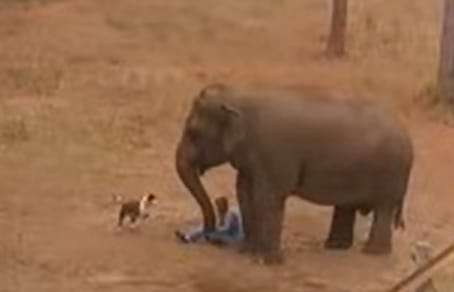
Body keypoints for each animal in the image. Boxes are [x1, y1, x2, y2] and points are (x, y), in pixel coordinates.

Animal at [176, 82, 414, 264]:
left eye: (193, 133)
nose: (208, 236)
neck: (241, 97)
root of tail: (408, 137)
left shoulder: (275, 153)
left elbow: (267, 197)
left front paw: (266, 261)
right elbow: (245, 192)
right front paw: (246, 252)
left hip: (390, 173)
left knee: (383, 208)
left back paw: (373, 252)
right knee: (347, 206)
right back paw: (335, 247)